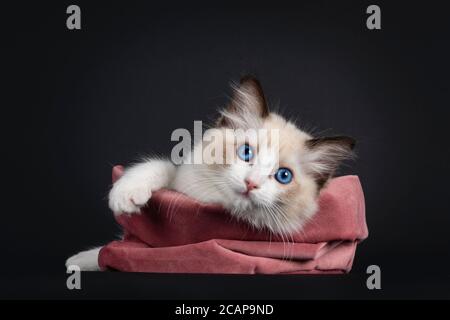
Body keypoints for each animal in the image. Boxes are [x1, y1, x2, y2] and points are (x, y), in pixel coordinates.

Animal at [67, 76, 356, 272]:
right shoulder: (180, 180)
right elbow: (159, 166)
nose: (251, 183)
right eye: (246, 153)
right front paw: (124, 197)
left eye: (283, 176)